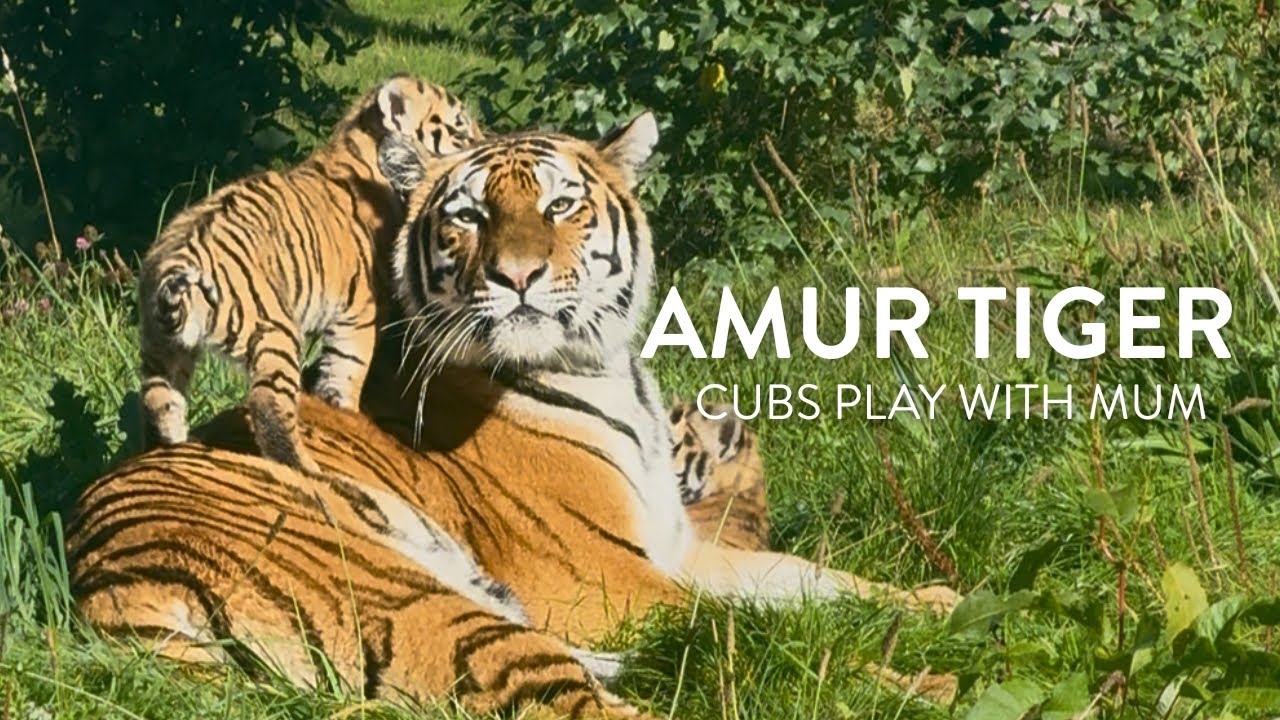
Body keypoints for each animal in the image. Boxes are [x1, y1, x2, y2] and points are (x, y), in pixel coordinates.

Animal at [69, 114, 961, 718]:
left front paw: (939, 602)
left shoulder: (673, 548)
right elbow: (757, 622)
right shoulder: (604, 579)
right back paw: (918, 684)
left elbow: (814, 582)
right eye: (467, 216)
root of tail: (106, 587)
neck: (607, 372)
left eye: (563, 205)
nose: (518, 275)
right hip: (408, 595)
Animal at [137, 74, 482, 476]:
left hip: (161, 349)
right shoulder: (360, 314)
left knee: (160, 406)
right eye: (459, 129)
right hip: (274, 332)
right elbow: (346, 371)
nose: (484, 143)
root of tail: (175, 262)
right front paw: (345, 411)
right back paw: (305, 468)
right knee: (268, 407)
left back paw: (171, 448)